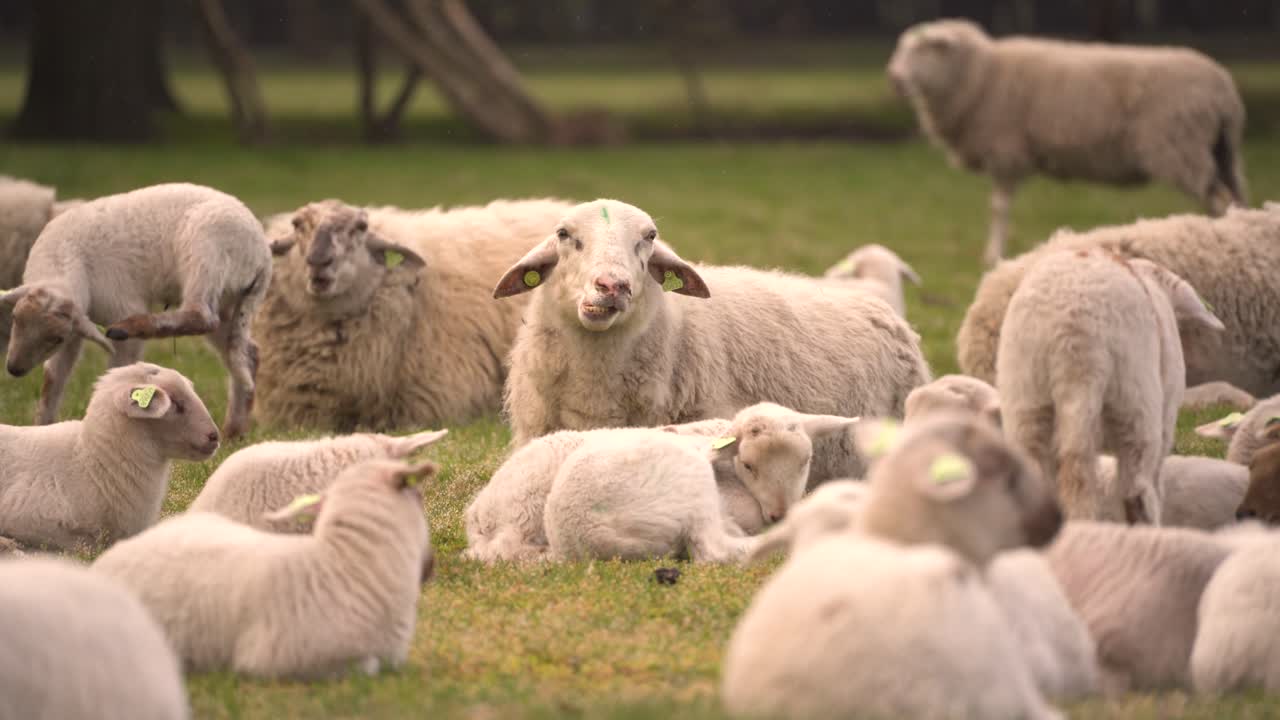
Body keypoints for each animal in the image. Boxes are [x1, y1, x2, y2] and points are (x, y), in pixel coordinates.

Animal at [0, 183, 271, 439]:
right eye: (15, 319)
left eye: (54, 338)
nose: (14, 369)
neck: (64, 258)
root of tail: (263, 255)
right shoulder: (74, 329)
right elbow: (53, 378)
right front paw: (41, 427)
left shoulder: (120, 306)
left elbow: (117, 372)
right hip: (229, 301)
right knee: (246, 353)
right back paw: (235, 429)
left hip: (206, 255)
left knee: (201, 316)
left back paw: (130, 327)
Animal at [888, 19, 1246, 266]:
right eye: (902, 47)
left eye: (924, 48)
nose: (894, 77)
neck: (981, 75)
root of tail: (1224, 90)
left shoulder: (1006, 151)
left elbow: (998, 208)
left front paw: (993, 256)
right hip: (1221, 150)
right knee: (1236, 199)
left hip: (1180, 147)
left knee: (1220, 201)